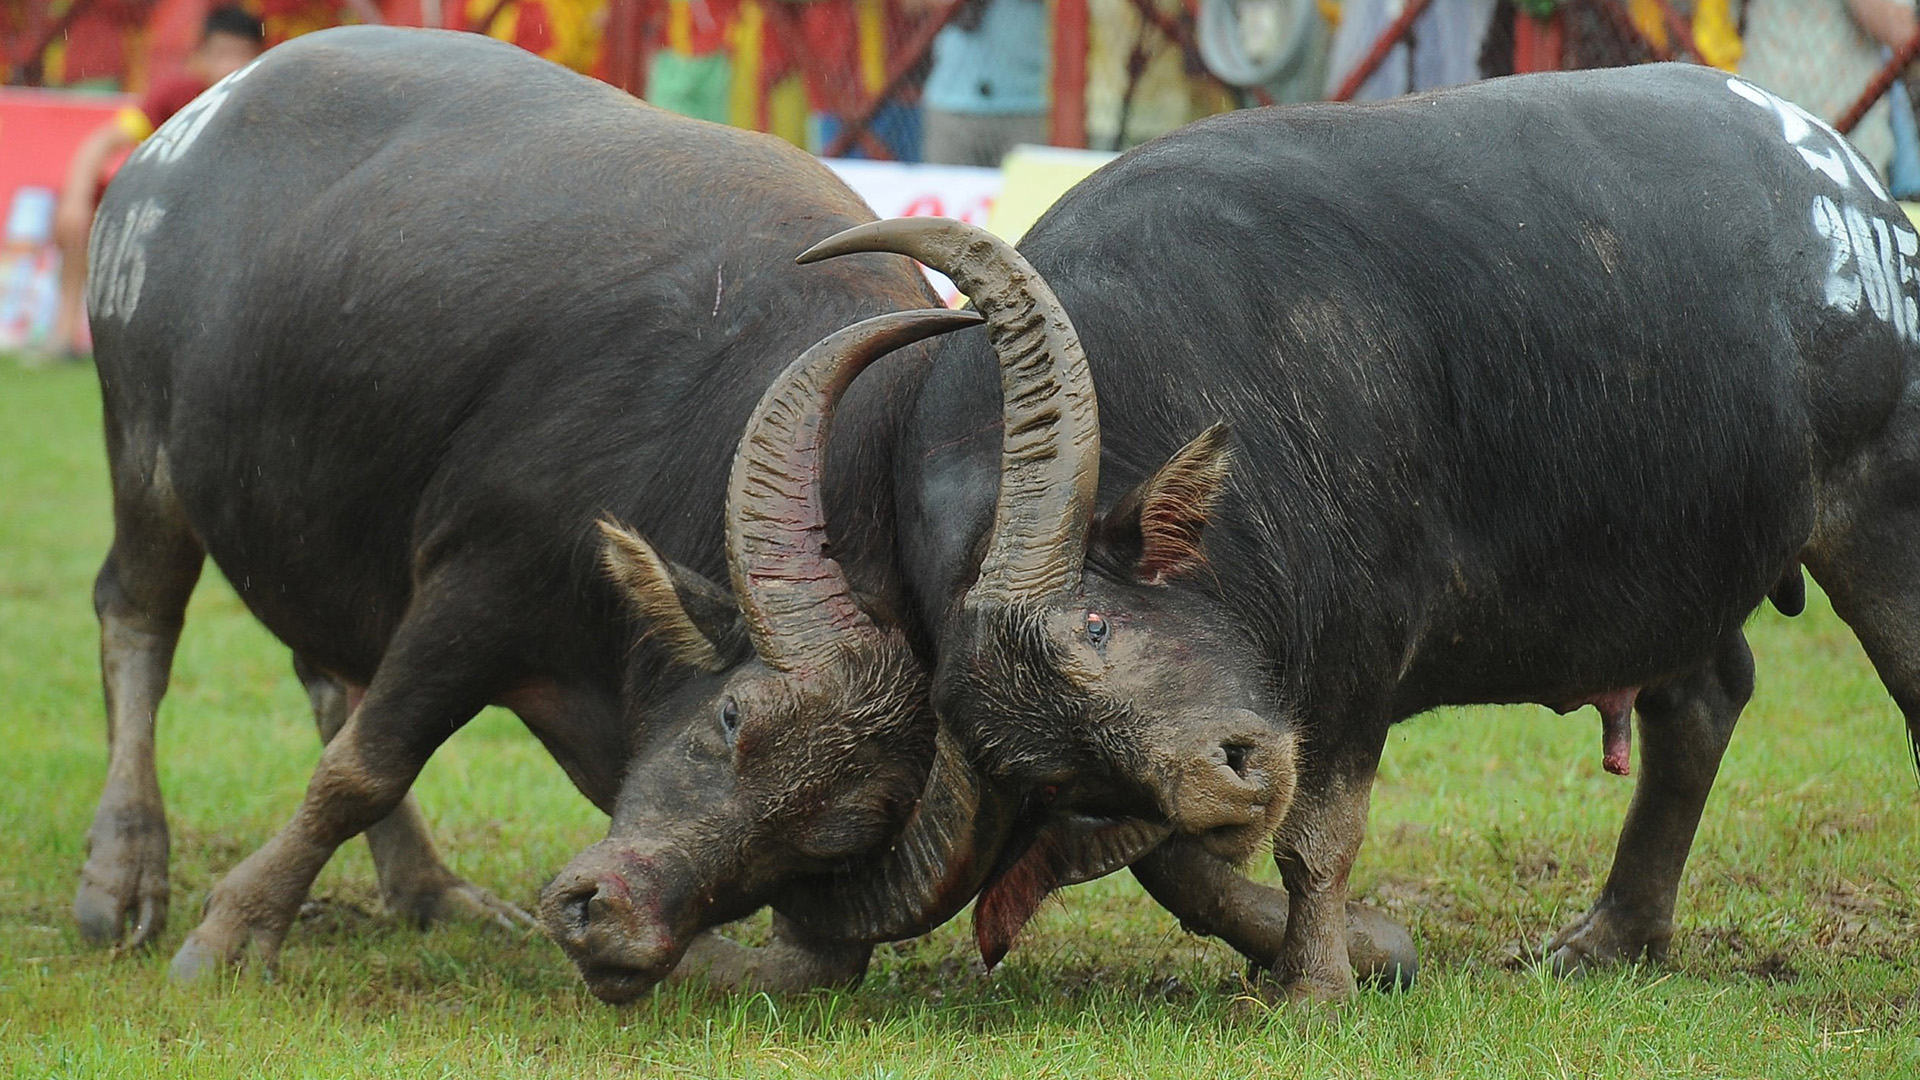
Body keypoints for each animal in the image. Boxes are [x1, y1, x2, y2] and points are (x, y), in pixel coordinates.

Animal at [810, 62, 1920, 999]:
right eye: (1065, 773)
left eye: (1095, 627)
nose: (1225, 776)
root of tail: (1852, 188)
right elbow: (1184, 863)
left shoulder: (1352, 662)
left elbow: (1317, 838)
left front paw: (1315, 988)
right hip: (1669, 567)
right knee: (1701, 702)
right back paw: (1613, 937)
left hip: (1877, 513)